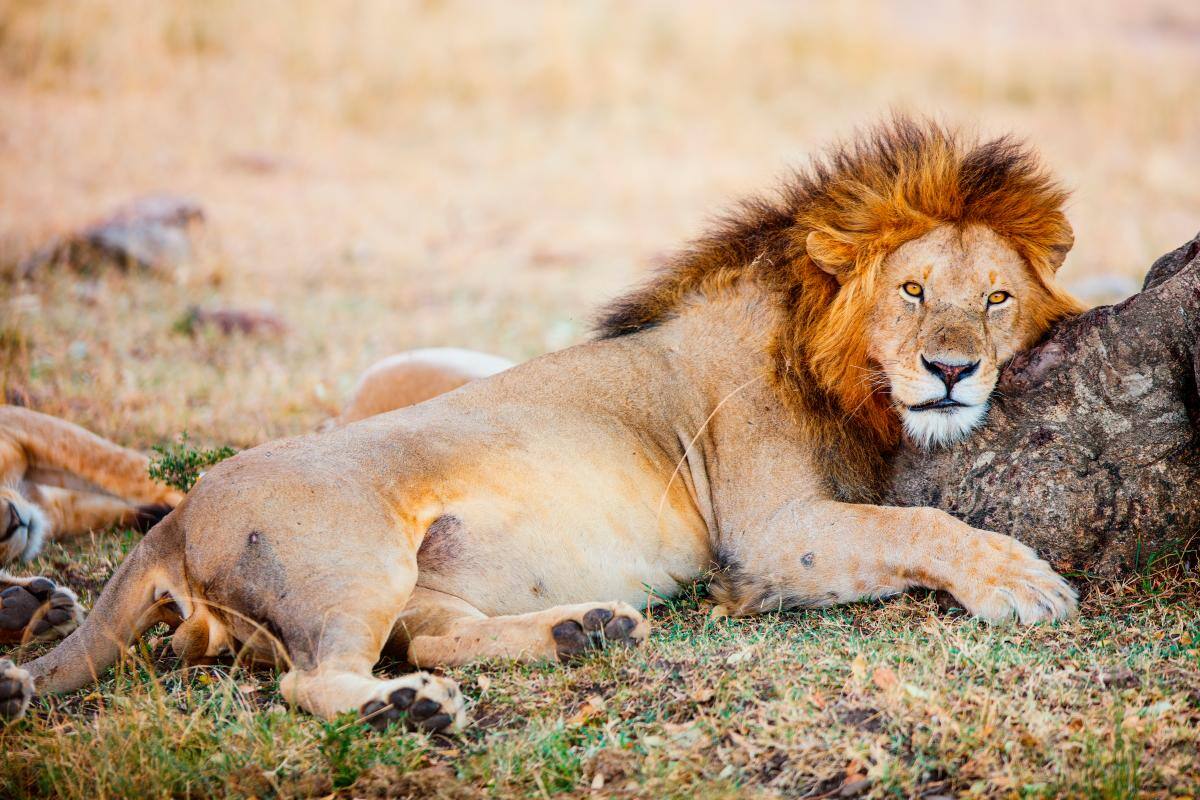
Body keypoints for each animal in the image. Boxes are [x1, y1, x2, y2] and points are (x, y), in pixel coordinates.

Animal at [7, 119, 1085, 729]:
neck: (837, 367)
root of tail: (178, 518)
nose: (953, 371)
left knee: (430, 638)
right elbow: (917, 523)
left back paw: (585, 629)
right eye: (912, 290)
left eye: (996, 297)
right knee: (316, 683)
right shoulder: (767, 540)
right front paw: (1021, 581)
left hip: (421, 583)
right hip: (357, 559)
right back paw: (412, 709)